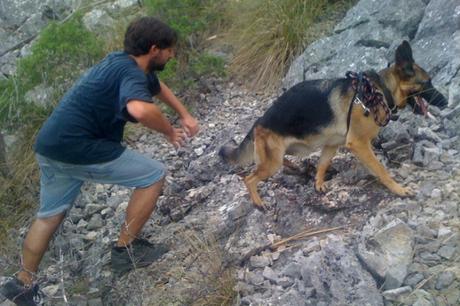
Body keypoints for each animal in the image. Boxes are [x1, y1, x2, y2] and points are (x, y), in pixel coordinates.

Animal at [219, 41, 446, 210]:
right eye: (428, 82)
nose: (446, 102)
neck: (378, 91)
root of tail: (258, 122)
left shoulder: (331, 145)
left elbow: (322, 165)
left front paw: (318, 183)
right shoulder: (359, 145)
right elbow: (381, 170)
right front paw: (398, 189)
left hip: (276, 156)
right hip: (271, 163)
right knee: (249, 179)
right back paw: (258, 202)